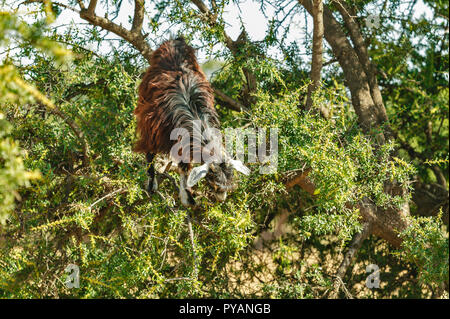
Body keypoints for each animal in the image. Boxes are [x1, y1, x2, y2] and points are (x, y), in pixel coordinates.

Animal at [134, 37, 250, 208]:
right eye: (213, 183)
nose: (221, 199)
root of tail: (174, 41)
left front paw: (187, 195)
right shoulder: (152, 130)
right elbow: (150, 154)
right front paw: (153, 184)